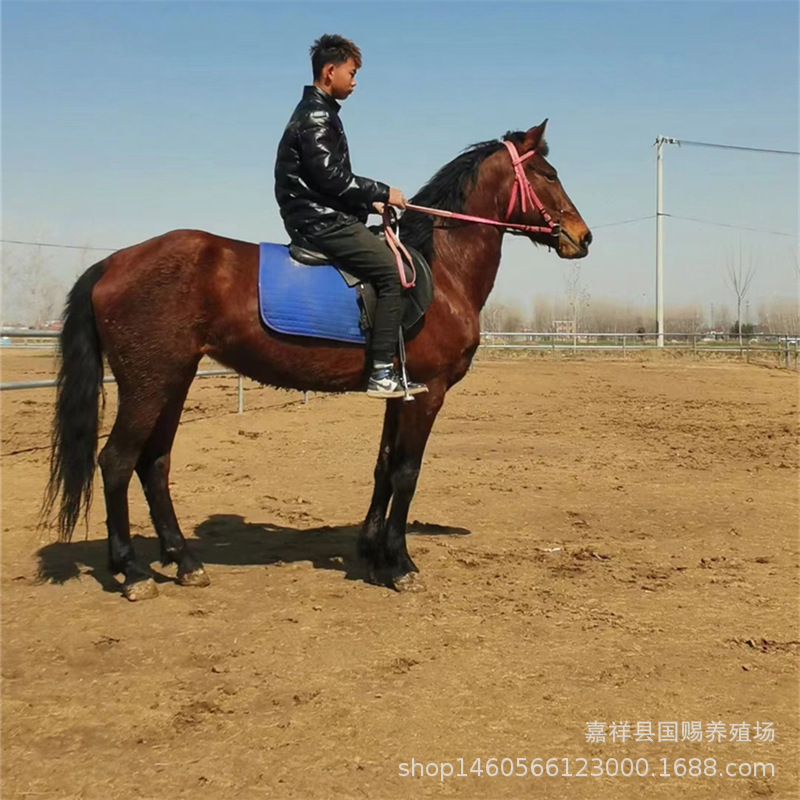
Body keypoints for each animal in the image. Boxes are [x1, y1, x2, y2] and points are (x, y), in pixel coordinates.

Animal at [43, 119, 591, 599]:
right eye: (548, 174)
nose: (583, 236)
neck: (441, 270)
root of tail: (113, 262)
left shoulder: (400, 390)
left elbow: (384, 466)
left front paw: (371, 553)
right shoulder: (428, 393)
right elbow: (407, 472)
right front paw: (401, 563)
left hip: (173, 380)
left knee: (154, 463)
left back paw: (184, 561)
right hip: (148, 383)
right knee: (116, 462)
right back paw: (132, 571)